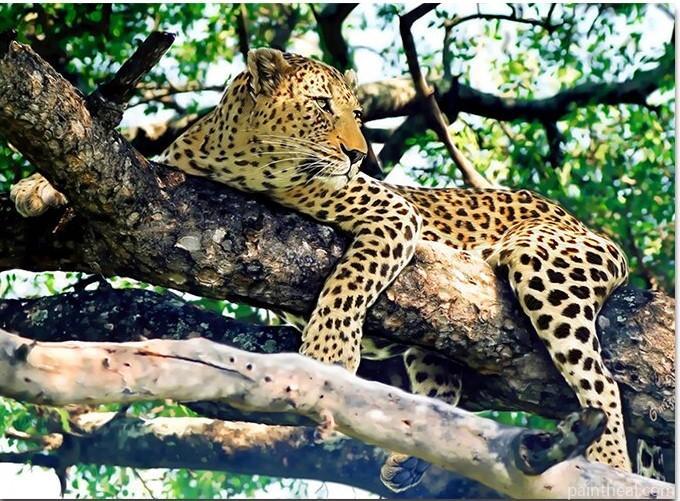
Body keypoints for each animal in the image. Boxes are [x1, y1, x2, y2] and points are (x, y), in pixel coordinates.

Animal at [11, 47, 664, 490]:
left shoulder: (393, 212)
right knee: (443, 384)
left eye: (358, 113)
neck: (242, 158)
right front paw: (31, 187)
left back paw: (608, 468)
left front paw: (326, 353)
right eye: (323, 108)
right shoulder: (169, 168)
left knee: (601, 384)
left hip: (546, 262)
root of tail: (589, 227)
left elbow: (352, 277)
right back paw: (407, 457)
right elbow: (106, 152)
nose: (358, 154)